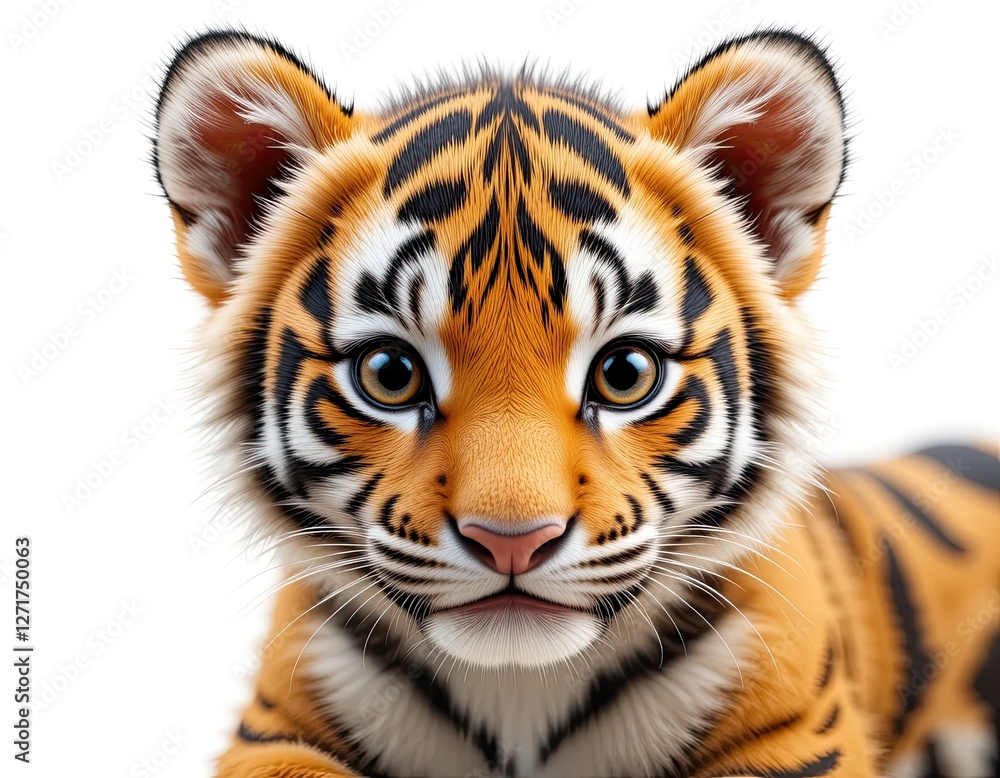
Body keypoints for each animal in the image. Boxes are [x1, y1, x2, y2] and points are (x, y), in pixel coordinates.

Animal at [151, 28, 1000, 778]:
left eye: (624, 374)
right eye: (390, 374)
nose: (512, 543)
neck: (520, 690)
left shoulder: (798, 733)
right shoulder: (273, 729)